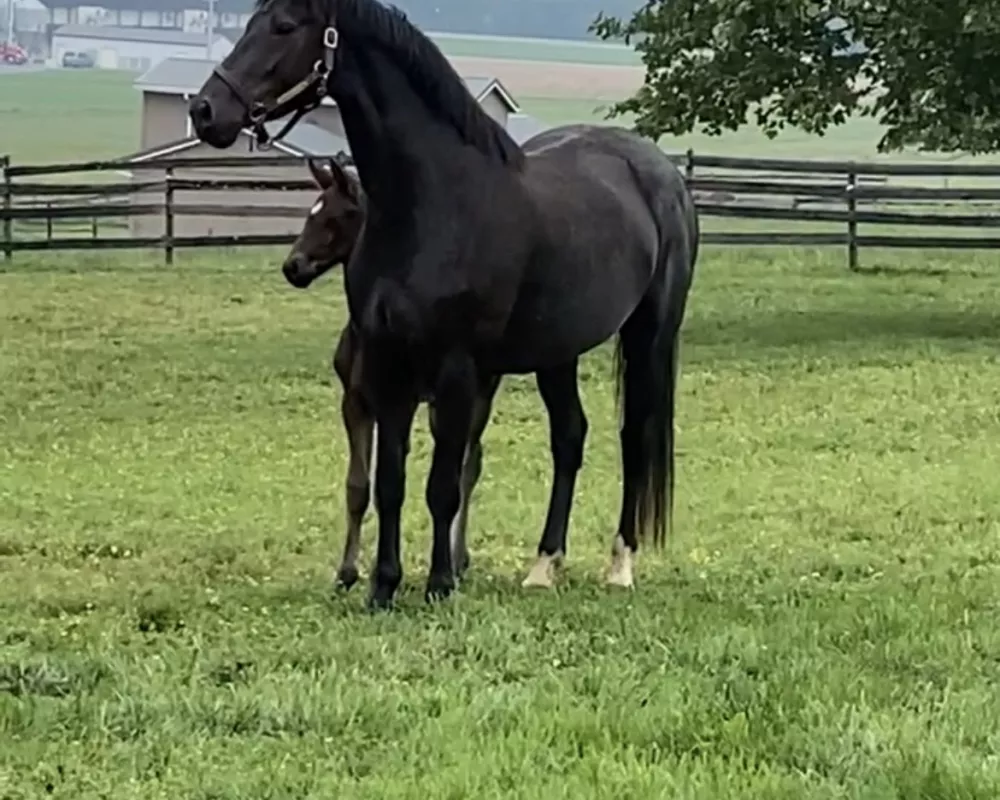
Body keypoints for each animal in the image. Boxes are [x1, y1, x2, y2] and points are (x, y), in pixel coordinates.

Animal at [191, 0, 700, 608]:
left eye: (284, 27)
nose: (204, 110)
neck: (430, 204)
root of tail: (661, 172)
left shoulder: (456, 371)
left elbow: (443, 485)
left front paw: (438, 583)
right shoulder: (387, 368)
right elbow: (388, 483)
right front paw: (383, 587)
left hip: (649, 333)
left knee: (633, 437)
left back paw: (619, 563)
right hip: (558, 350)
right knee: (569, 438)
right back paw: (544, 565)